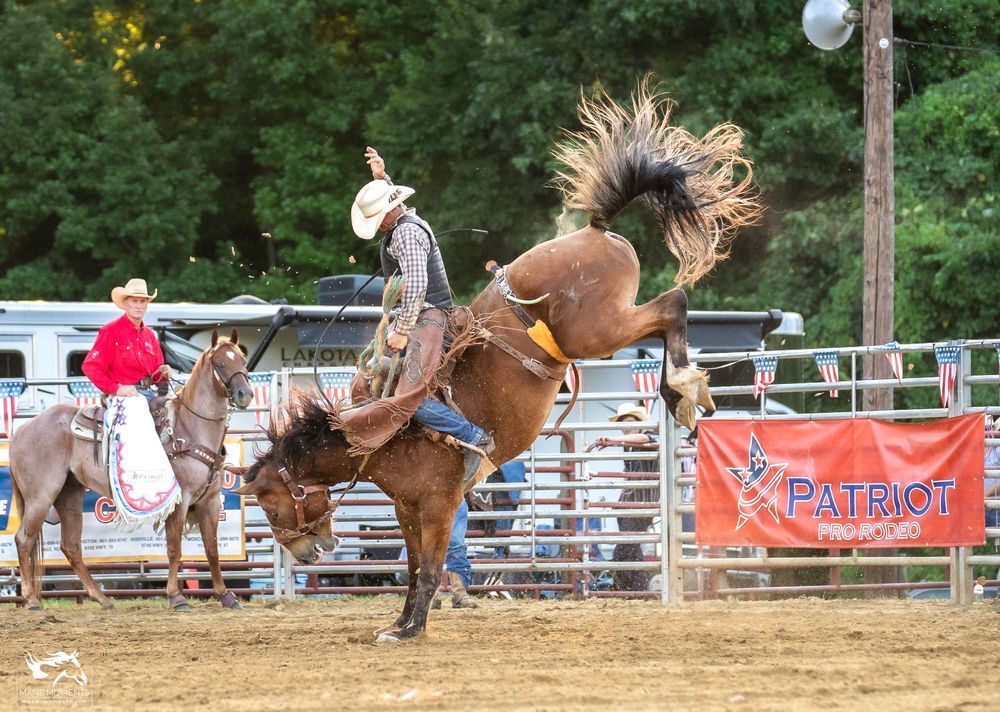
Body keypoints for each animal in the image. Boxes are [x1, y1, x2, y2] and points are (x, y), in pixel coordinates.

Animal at [9, 330, 253, 611]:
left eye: (243, 361)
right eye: (220, 363)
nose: (245, 394)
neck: (190, 428)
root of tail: (21, 431)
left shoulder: (210, 501)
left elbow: (212, 550)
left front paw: (226, 595)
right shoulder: (180, 500)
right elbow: (174, 549)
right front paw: (176, 596)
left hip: (68, 494)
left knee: (70, 546)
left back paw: (103, 599)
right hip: (40, 496)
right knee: (23, 539)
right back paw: (31, 599)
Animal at [231, 81, 763, 641]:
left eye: (270, 505)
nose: (307, 552)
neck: (374, 437)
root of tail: (595, 231)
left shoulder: (439, 505)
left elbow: (432, 569)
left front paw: (413, 629)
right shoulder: (406, 507)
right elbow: (413, 568)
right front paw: (398, 623)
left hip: (596, 328)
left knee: (673, 305)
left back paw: (682, 387)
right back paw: (680, 393)